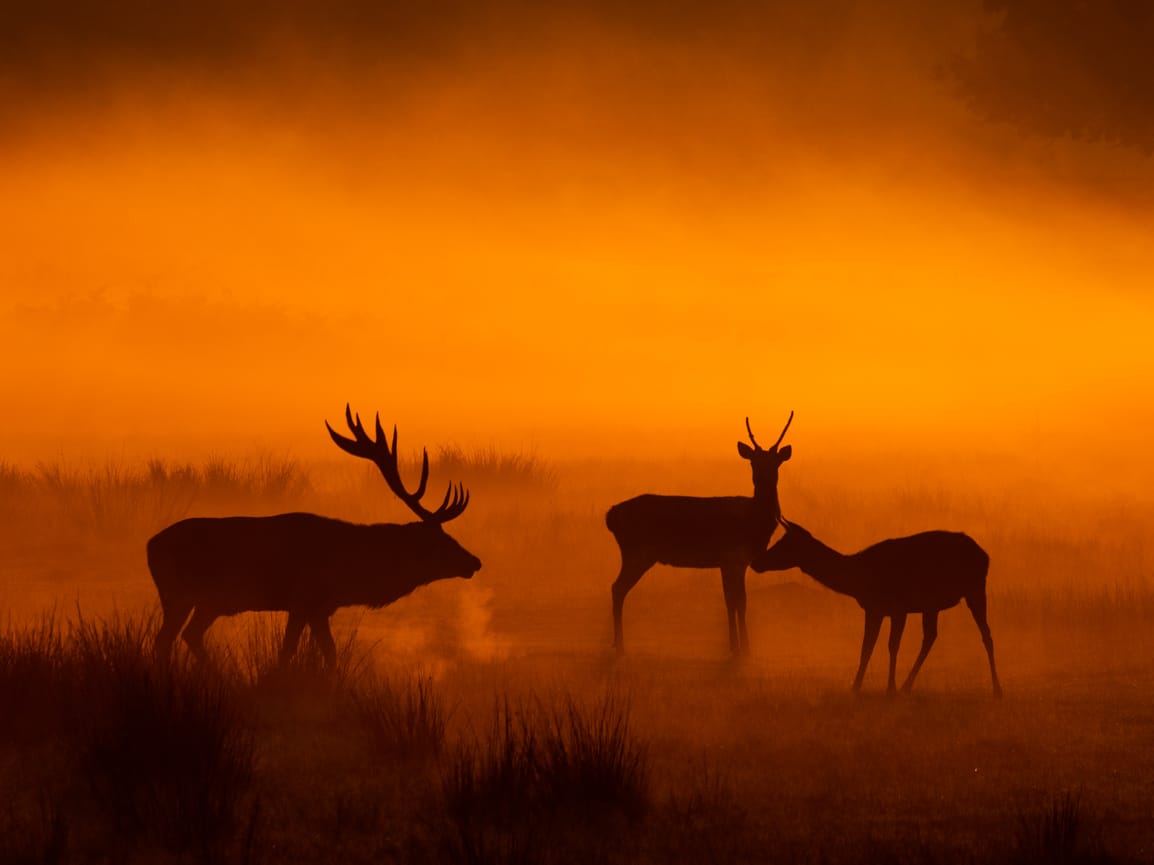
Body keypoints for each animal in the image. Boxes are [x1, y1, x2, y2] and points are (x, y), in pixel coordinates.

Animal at [146, 406, 482, 667]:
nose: (474, 562)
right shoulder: (304, 600)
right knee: (166, 640)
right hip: (179, 594)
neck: (349, 573)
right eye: (440, 542)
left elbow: (328, 654)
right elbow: (292, 653)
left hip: (206, 602)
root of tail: (150, 545)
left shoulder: (320, 608)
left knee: (187, 635)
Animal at [606, 412, 793, 657]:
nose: (761, 478)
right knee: (617, 588)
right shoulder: (730, 557)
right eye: (753, 461)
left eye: (775, 462)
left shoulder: (736, 561)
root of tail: (610, 516)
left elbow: (737, 601)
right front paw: (739, 648)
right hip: (637, 553)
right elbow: (734, 601)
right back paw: (619, 646)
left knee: (617, 588)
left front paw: (740, 647)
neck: (753, 522)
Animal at [751, 516, 1002, 697]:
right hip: (932, 605)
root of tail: (986, 556)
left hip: (975, 589)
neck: (858, 580)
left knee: (986, 634)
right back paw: (907, 686)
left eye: (785, 544)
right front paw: (855, 686)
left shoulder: (898, 608)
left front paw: (890, 687)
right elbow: (867, 647)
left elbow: (892, 646)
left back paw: (997, 689)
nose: (757, 562)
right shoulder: (874, 609)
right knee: (931, 635)